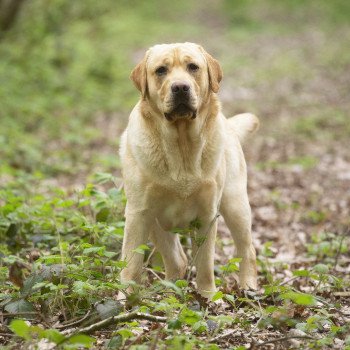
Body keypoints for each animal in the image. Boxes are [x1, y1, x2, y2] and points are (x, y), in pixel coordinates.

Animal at [119, 41, 258, 298]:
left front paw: (208, 297)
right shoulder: (138, 213)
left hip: (236, 205)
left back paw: (248, 286)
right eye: (161, 70)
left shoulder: (207, 215)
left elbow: (204, 263)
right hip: (156, 224)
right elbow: (131, 263)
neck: (181, 145)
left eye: (193, 67)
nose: (180, 87)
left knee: (247, 250)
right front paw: (123, 299)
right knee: (177, 261)